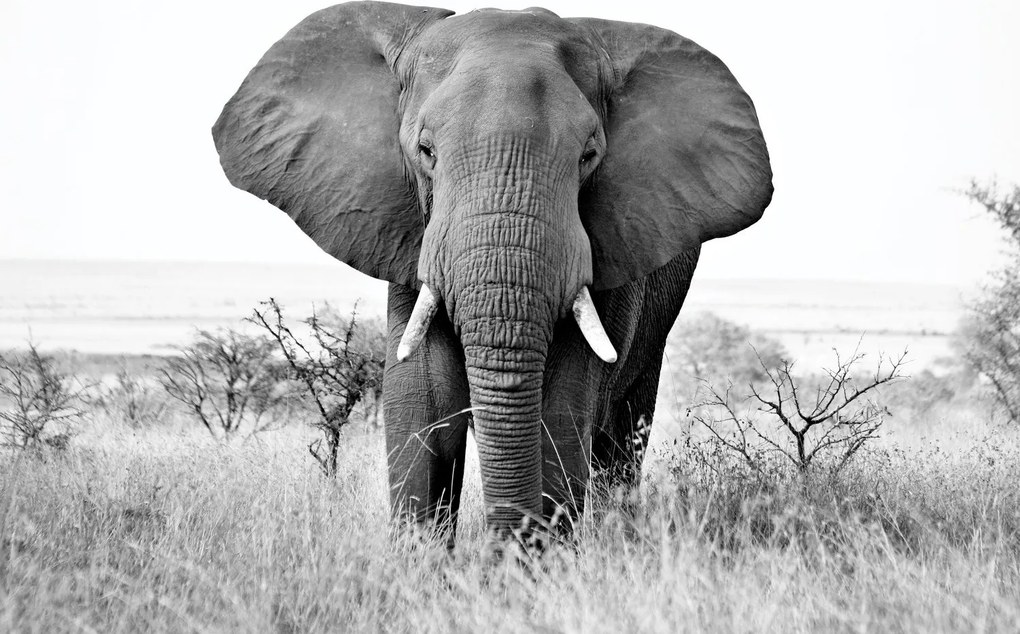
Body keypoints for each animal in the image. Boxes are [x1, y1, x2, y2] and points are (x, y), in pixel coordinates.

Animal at [212, 2, 772, 544]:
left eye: (589, 155)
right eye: (426, 151)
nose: (503, 550)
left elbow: (561, 406)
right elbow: (422, 398)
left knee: (622, 433)